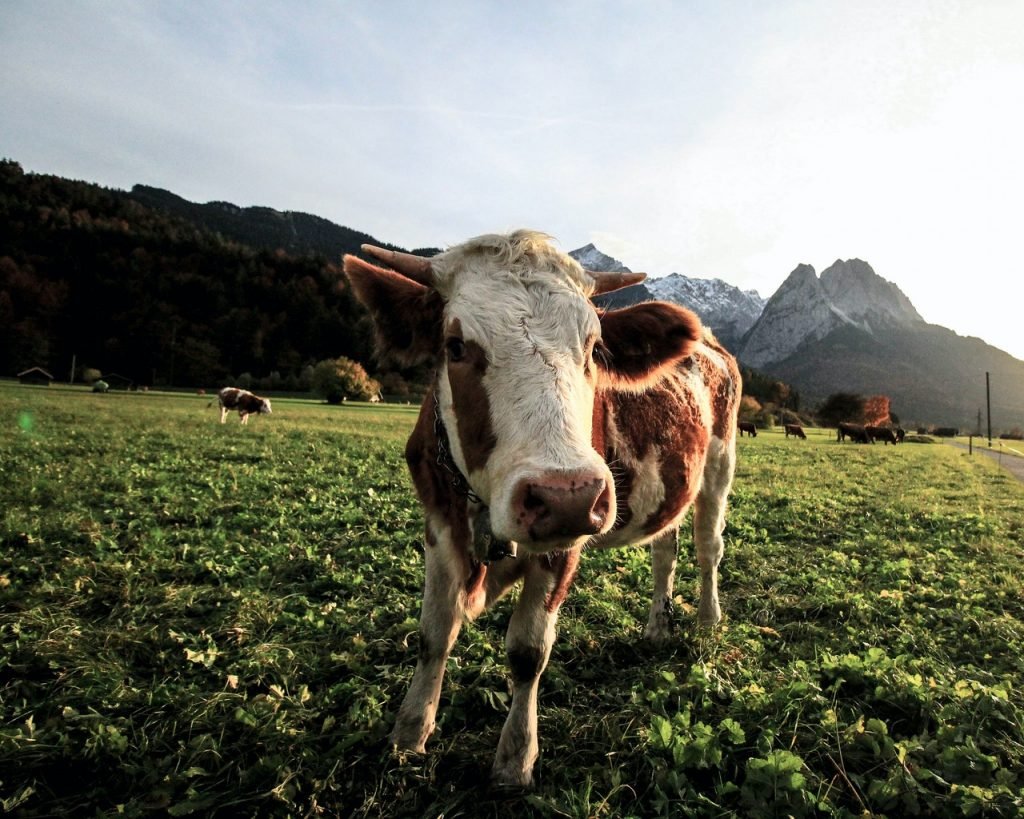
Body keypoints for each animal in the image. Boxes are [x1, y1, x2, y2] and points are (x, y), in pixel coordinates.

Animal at [342, 231, 741, 789]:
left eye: (595, 348)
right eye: (455, 346)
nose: (564, 496)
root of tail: (709, 342)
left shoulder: (565, 540)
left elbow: (528, 651)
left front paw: (515, 758)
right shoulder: (439, 523)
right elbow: (433, 633)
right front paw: (409, 731)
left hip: (719, 468)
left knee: (708, 550)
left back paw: (706, 619)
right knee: (666, 548)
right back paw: (659, 627)